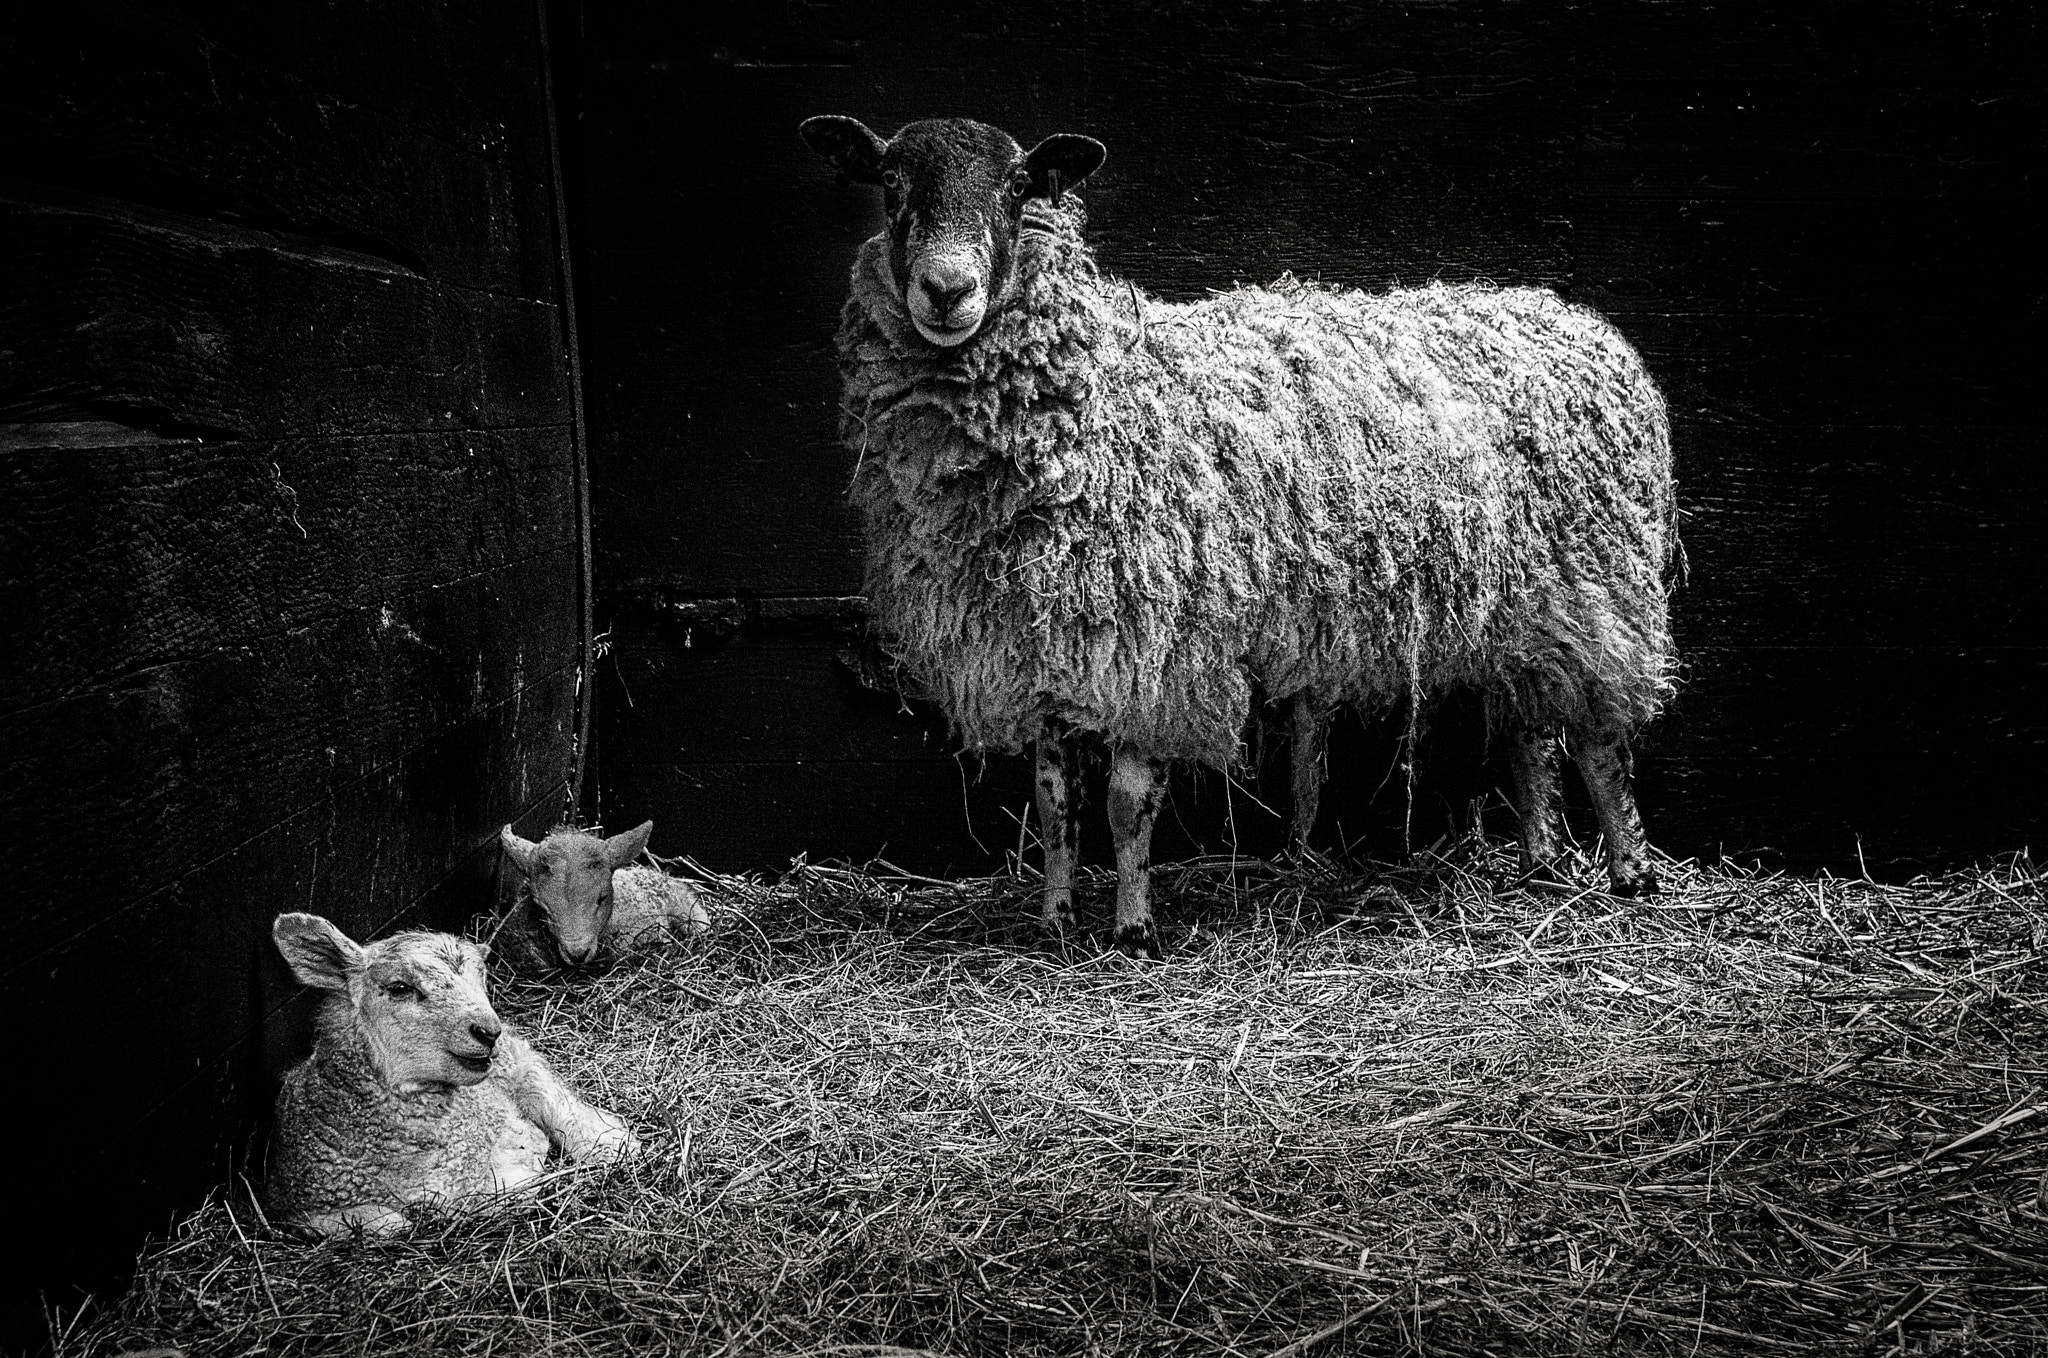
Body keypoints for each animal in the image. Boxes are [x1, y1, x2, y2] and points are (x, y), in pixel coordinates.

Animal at [264, 909, 634, 1237]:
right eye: (400, 987)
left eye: (480, 980)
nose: (488, 1031)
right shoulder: (300, 1208)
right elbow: (387, 1223)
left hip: (523, 1069)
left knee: (569, 1112)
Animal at [798, 119, 1679, 966]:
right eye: (889, 182)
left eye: (1017, 186)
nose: (947, 291)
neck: (1094, 399)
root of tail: (1581, 324)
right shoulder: (1046, 646)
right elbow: (1054, 803)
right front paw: (1054, 919)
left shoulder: (1152, 652)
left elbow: (1125, 806)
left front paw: (1133, 932)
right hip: (1528, 607)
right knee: (1532, 731)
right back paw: (1539, 863)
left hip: (1598, 585)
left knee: (1600, 739)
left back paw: (1630, 874)